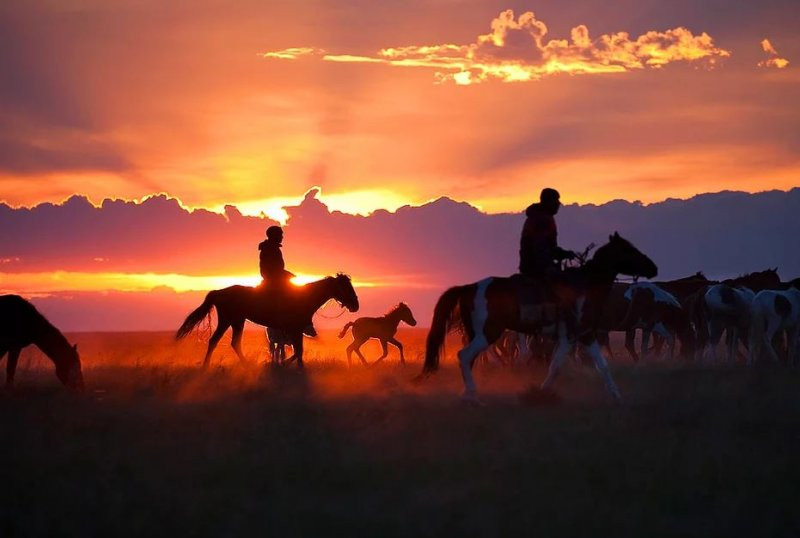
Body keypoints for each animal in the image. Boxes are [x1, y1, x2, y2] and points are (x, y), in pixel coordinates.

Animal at [179, 274, 362, 366]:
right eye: (345, 287)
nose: (355, 305)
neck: (304, 298)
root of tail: (219, 291)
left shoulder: (294, 331)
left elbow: (297, 351)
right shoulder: (294, 330)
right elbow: (297, 352)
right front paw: (288, 366)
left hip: (238, 321)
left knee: (234, 343)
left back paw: (247, 365)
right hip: (227, 320)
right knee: (214, 341)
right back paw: (205, 367)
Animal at [418, 231, 656, 402]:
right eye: (629, 250)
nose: (654, 268)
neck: (584, 287)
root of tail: (470, 287)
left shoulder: (586, 335)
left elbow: (602, 365)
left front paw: (616, 395)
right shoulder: (568, 337)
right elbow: (555, 365)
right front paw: (542, 392)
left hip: (478, 333)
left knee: (472, 357)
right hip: (488, 332)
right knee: (465, 356)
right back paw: (471, 395)